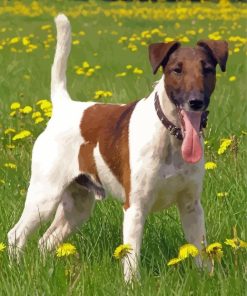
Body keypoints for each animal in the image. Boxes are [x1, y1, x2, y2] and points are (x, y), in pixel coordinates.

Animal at [8, 15, 228, 280]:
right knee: (16, 235)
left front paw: (210, 280)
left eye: (207, 69)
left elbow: (202, 253)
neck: (170, 136)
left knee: (45, 241)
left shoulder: (191, 207)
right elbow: (131, 261)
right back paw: (17, 270)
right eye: (177, 69)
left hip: (77, 206)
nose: (196, 101)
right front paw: (133, 284)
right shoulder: (135, 207)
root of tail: (64, 107)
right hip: (44, 196)